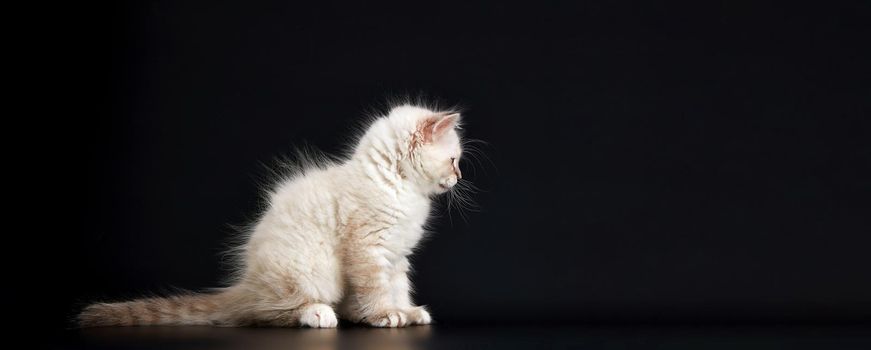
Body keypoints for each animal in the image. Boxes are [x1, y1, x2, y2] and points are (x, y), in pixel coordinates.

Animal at [77, 104, 470, 328]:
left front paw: (408, 312)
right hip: (308, 271)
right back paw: (317, 315)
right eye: (453, 160)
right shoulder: (368, 250)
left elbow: (399, 288)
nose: (459, 177)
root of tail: (248, 282)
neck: (400, 187)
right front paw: (385, 315)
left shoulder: (397, 255)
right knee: (265, 313)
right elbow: (376, 290)